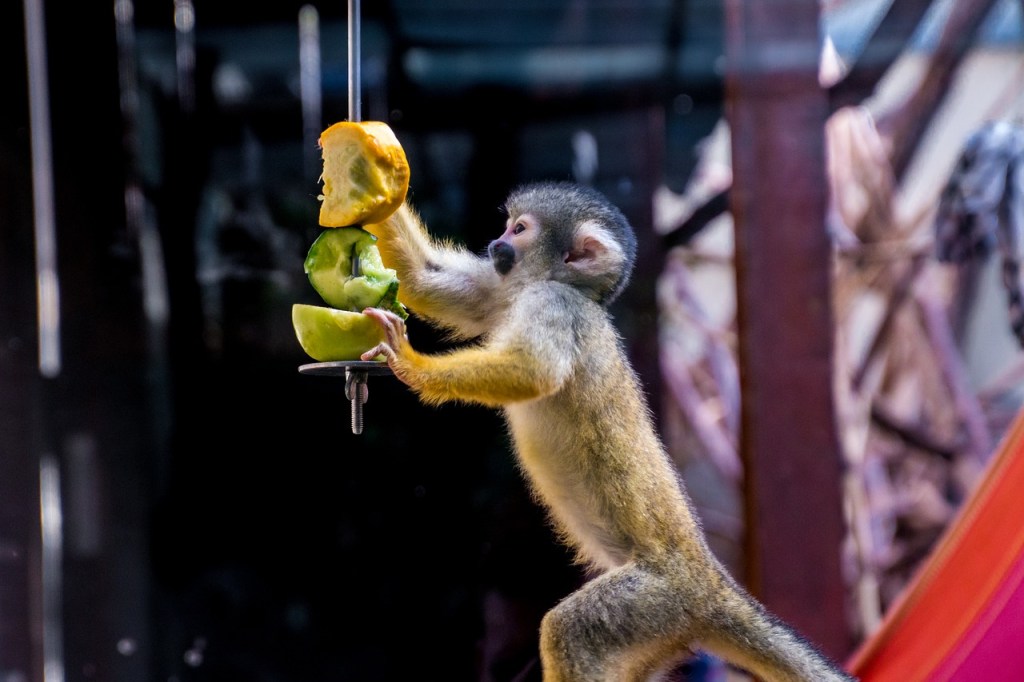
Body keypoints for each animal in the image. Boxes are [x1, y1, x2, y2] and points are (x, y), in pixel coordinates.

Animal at [360, 182, 856, 679]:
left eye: (519, 230)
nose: (496, 243)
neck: (555, 284)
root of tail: (713, 583)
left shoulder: (555, 303)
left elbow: (532, 371)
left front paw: (410, 364)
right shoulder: (506, 293)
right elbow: (425, 280)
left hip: (656, 598)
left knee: (572, 630)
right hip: (665, 628)